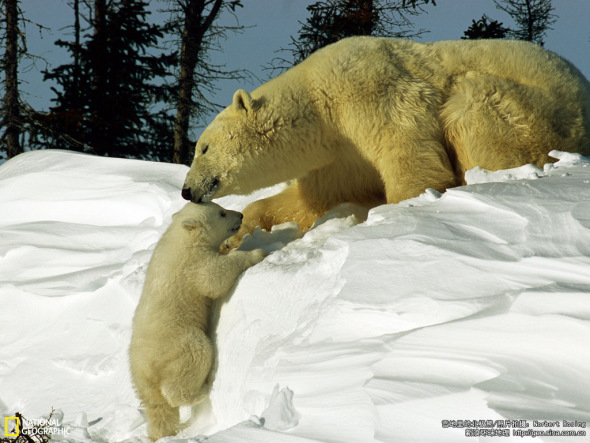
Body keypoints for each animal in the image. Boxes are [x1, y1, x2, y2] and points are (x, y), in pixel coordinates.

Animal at [183, 37, 588, 246]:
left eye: (203, 147)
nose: (187, 190)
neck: (319, 101)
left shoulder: (370, 91)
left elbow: (409, 151)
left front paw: (395, 213)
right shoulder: (340, 156)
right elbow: (315, 199)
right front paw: (241, 232)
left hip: (536, 113)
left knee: (472, 103)